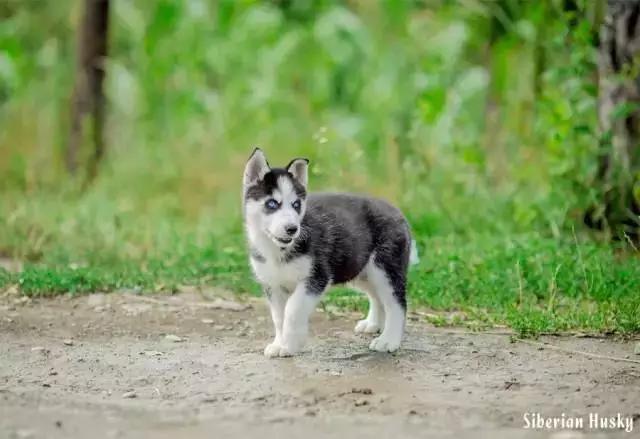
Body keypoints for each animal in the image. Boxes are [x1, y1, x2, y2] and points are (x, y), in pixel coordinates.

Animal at [241, 148, 416, 358]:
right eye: (272, 204)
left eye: (296, 205)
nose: (292, 229)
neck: (277, 250)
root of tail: (397, 210)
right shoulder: (272, 285)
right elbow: (278, 317)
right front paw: (279, 344)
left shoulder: (316, 278)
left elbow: (292, 310)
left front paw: (290, 345)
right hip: (360, 270)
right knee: (377, 297)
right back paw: (373, 324)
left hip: (385, 269)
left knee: (397, 304)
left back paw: (389, 340)